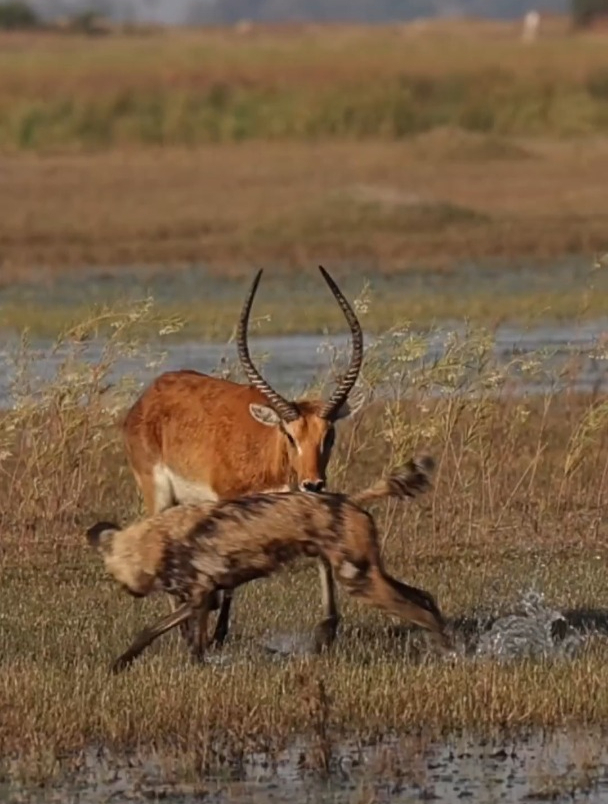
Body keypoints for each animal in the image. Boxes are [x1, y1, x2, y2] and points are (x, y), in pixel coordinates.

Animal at [84, 456, 452, 676]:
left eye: (116, 576)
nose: (130, 591)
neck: (156, 541)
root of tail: (348, 500)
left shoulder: (201, 597)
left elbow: (154, 632)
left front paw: (122, 664)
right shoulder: (205, 601)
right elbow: (189, 644)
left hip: (360, 582)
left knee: (424, 614)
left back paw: (447, 654)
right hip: (370, 575)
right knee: (427, 598)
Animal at [121, 266, 364, 652]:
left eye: (329, 435)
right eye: (289, 435)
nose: (313, 483)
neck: (266, 453)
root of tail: (147, 397)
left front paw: (327, 630)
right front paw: (213, 635)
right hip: (157, 494)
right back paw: (186, 634)